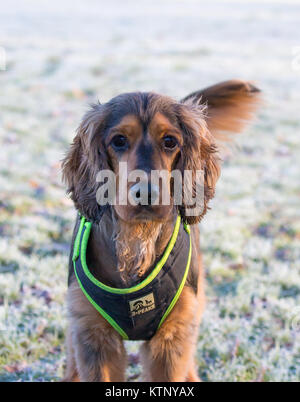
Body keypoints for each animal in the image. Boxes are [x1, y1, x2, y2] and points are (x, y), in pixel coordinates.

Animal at [62, 80, 262, 382]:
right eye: (118, 140)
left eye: (170, 141)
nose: (145, 193)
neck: (135, 240)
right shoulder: (94, 337)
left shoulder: (171, 339)